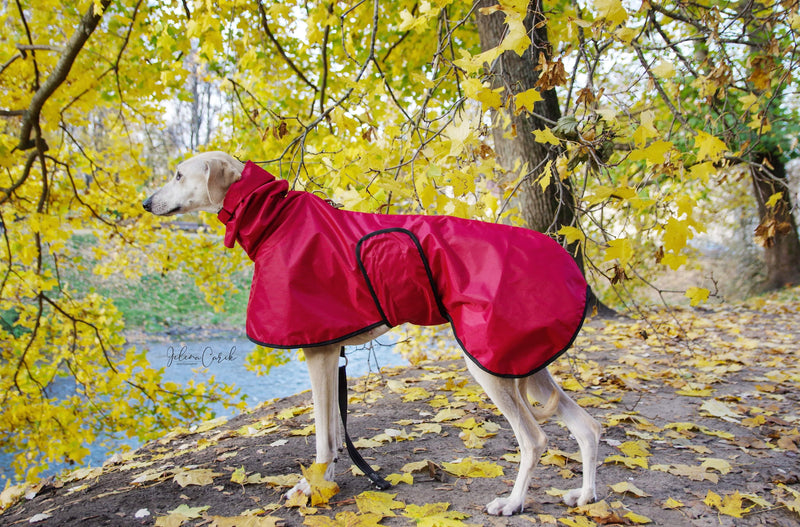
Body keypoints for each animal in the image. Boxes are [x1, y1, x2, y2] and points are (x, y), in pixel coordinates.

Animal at [142, 152, 600, 516]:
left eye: (178, 175)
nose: (146, 203)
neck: (275, 218)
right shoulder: (329, 352)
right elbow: (333, 431)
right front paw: (325, 481)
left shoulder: (319, 353)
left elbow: (323, 438)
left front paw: (311, 488)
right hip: (521, 361)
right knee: (588, 426)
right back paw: (585, 496)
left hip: (489, 364)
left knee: (535, 439)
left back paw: (514, 502)